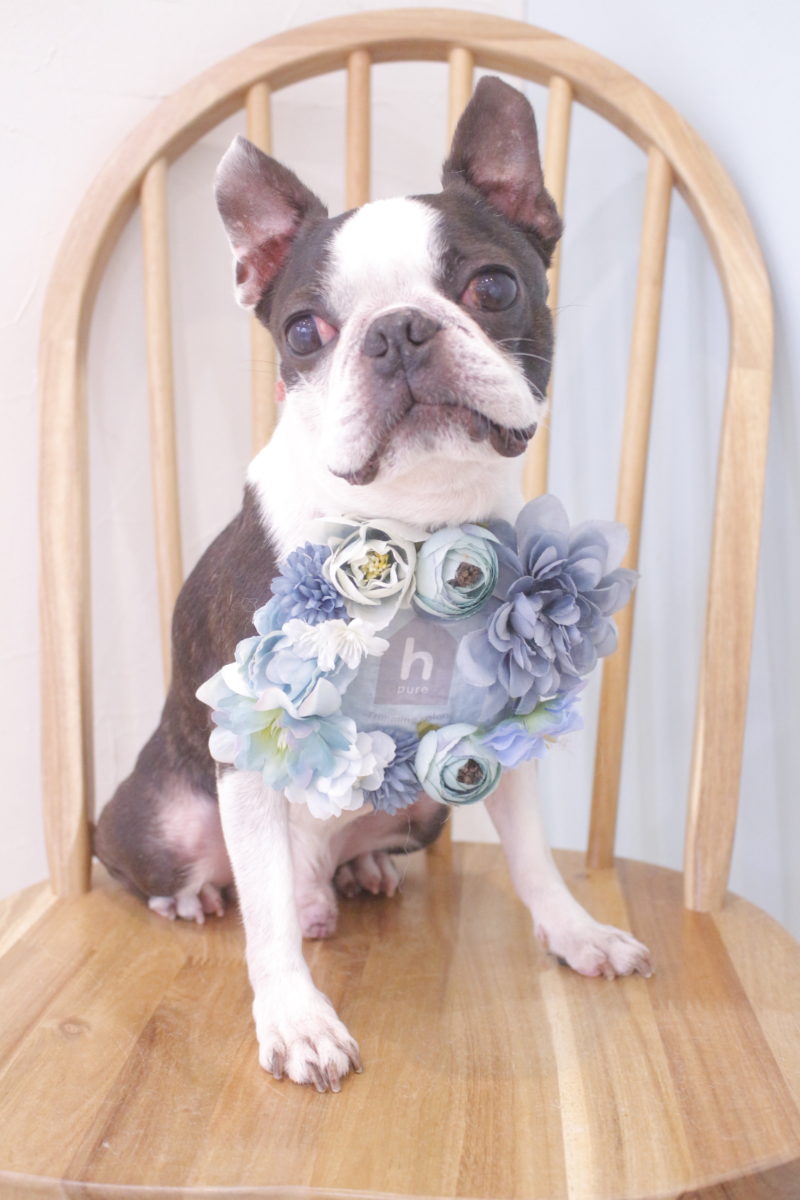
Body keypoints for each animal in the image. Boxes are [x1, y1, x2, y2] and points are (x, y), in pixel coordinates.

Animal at [95, 77, 652, 1093]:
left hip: (429, 803)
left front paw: (577, 933)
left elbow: (534, 859)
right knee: (218, 878)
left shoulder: (496, 731)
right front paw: (296, 1021)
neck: (415, 525)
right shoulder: (248, 742)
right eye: (303, 331)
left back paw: (359, 874)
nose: (397, 330)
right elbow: (269, 922)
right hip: (162, 813)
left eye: (494, 286)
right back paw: (201, 898)